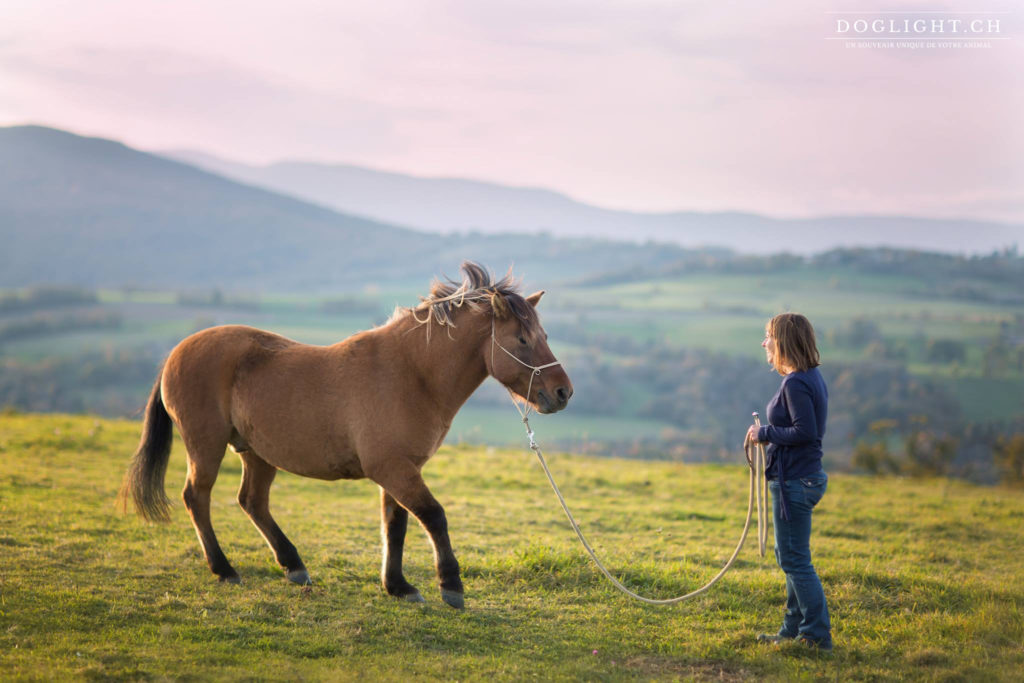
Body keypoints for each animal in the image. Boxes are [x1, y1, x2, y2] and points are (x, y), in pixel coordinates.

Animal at [120, 262, 573, 610]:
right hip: (207, 448)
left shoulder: (399, 470)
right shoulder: (394, 469)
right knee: (197, 498)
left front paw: (398, 586)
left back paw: (293, 565)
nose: (562, 392)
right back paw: (224, 569)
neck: (411, 374)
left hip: (257, 454)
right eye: (522, 339)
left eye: (545, 336)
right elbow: (433, 516)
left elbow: (395, 524)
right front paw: (451, 586)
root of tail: (177, 352)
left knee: (252, 501)